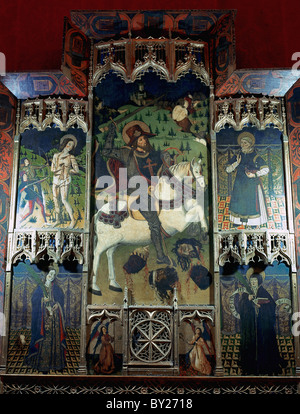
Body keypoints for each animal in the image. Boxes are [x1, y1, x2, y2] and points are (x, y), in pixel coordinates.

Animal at [90, 157, 207, 296]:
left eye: (202, 169)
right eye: (196, 171)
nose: (203, 187)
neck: (166, 198)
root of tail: (98, 213)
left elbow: (197, 207)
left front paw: (201, 231)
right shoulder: (180, 223)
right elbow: (197, 209)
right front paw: (203, 231)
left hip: (114, 242)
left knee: (109, 254)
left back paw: (113, 284)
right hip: (104, 242)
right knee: (97, 254)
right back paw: (95, 287)